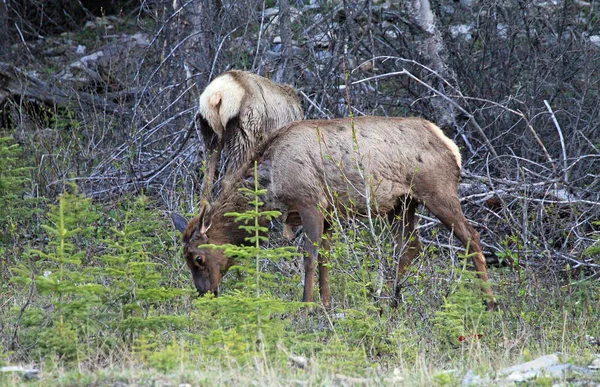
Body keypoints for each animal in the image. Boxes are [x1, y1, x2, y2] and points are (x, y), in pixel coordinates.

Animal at [173, 116, 496, 312]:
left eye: (198, 258)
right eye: (186, 260)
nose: (204, 294)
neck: (271, 186)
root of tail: (452, 147)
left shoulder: (310, 202)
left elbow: (310, 257)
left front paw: (306, 306)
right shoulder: (328, 213)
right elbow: (326, 259)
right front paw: (326, 304)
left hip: (437, 192)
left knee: (472, 237)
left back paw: (490, 302)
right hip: (403, 204)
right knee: (411, 246)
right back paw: (389, 300)